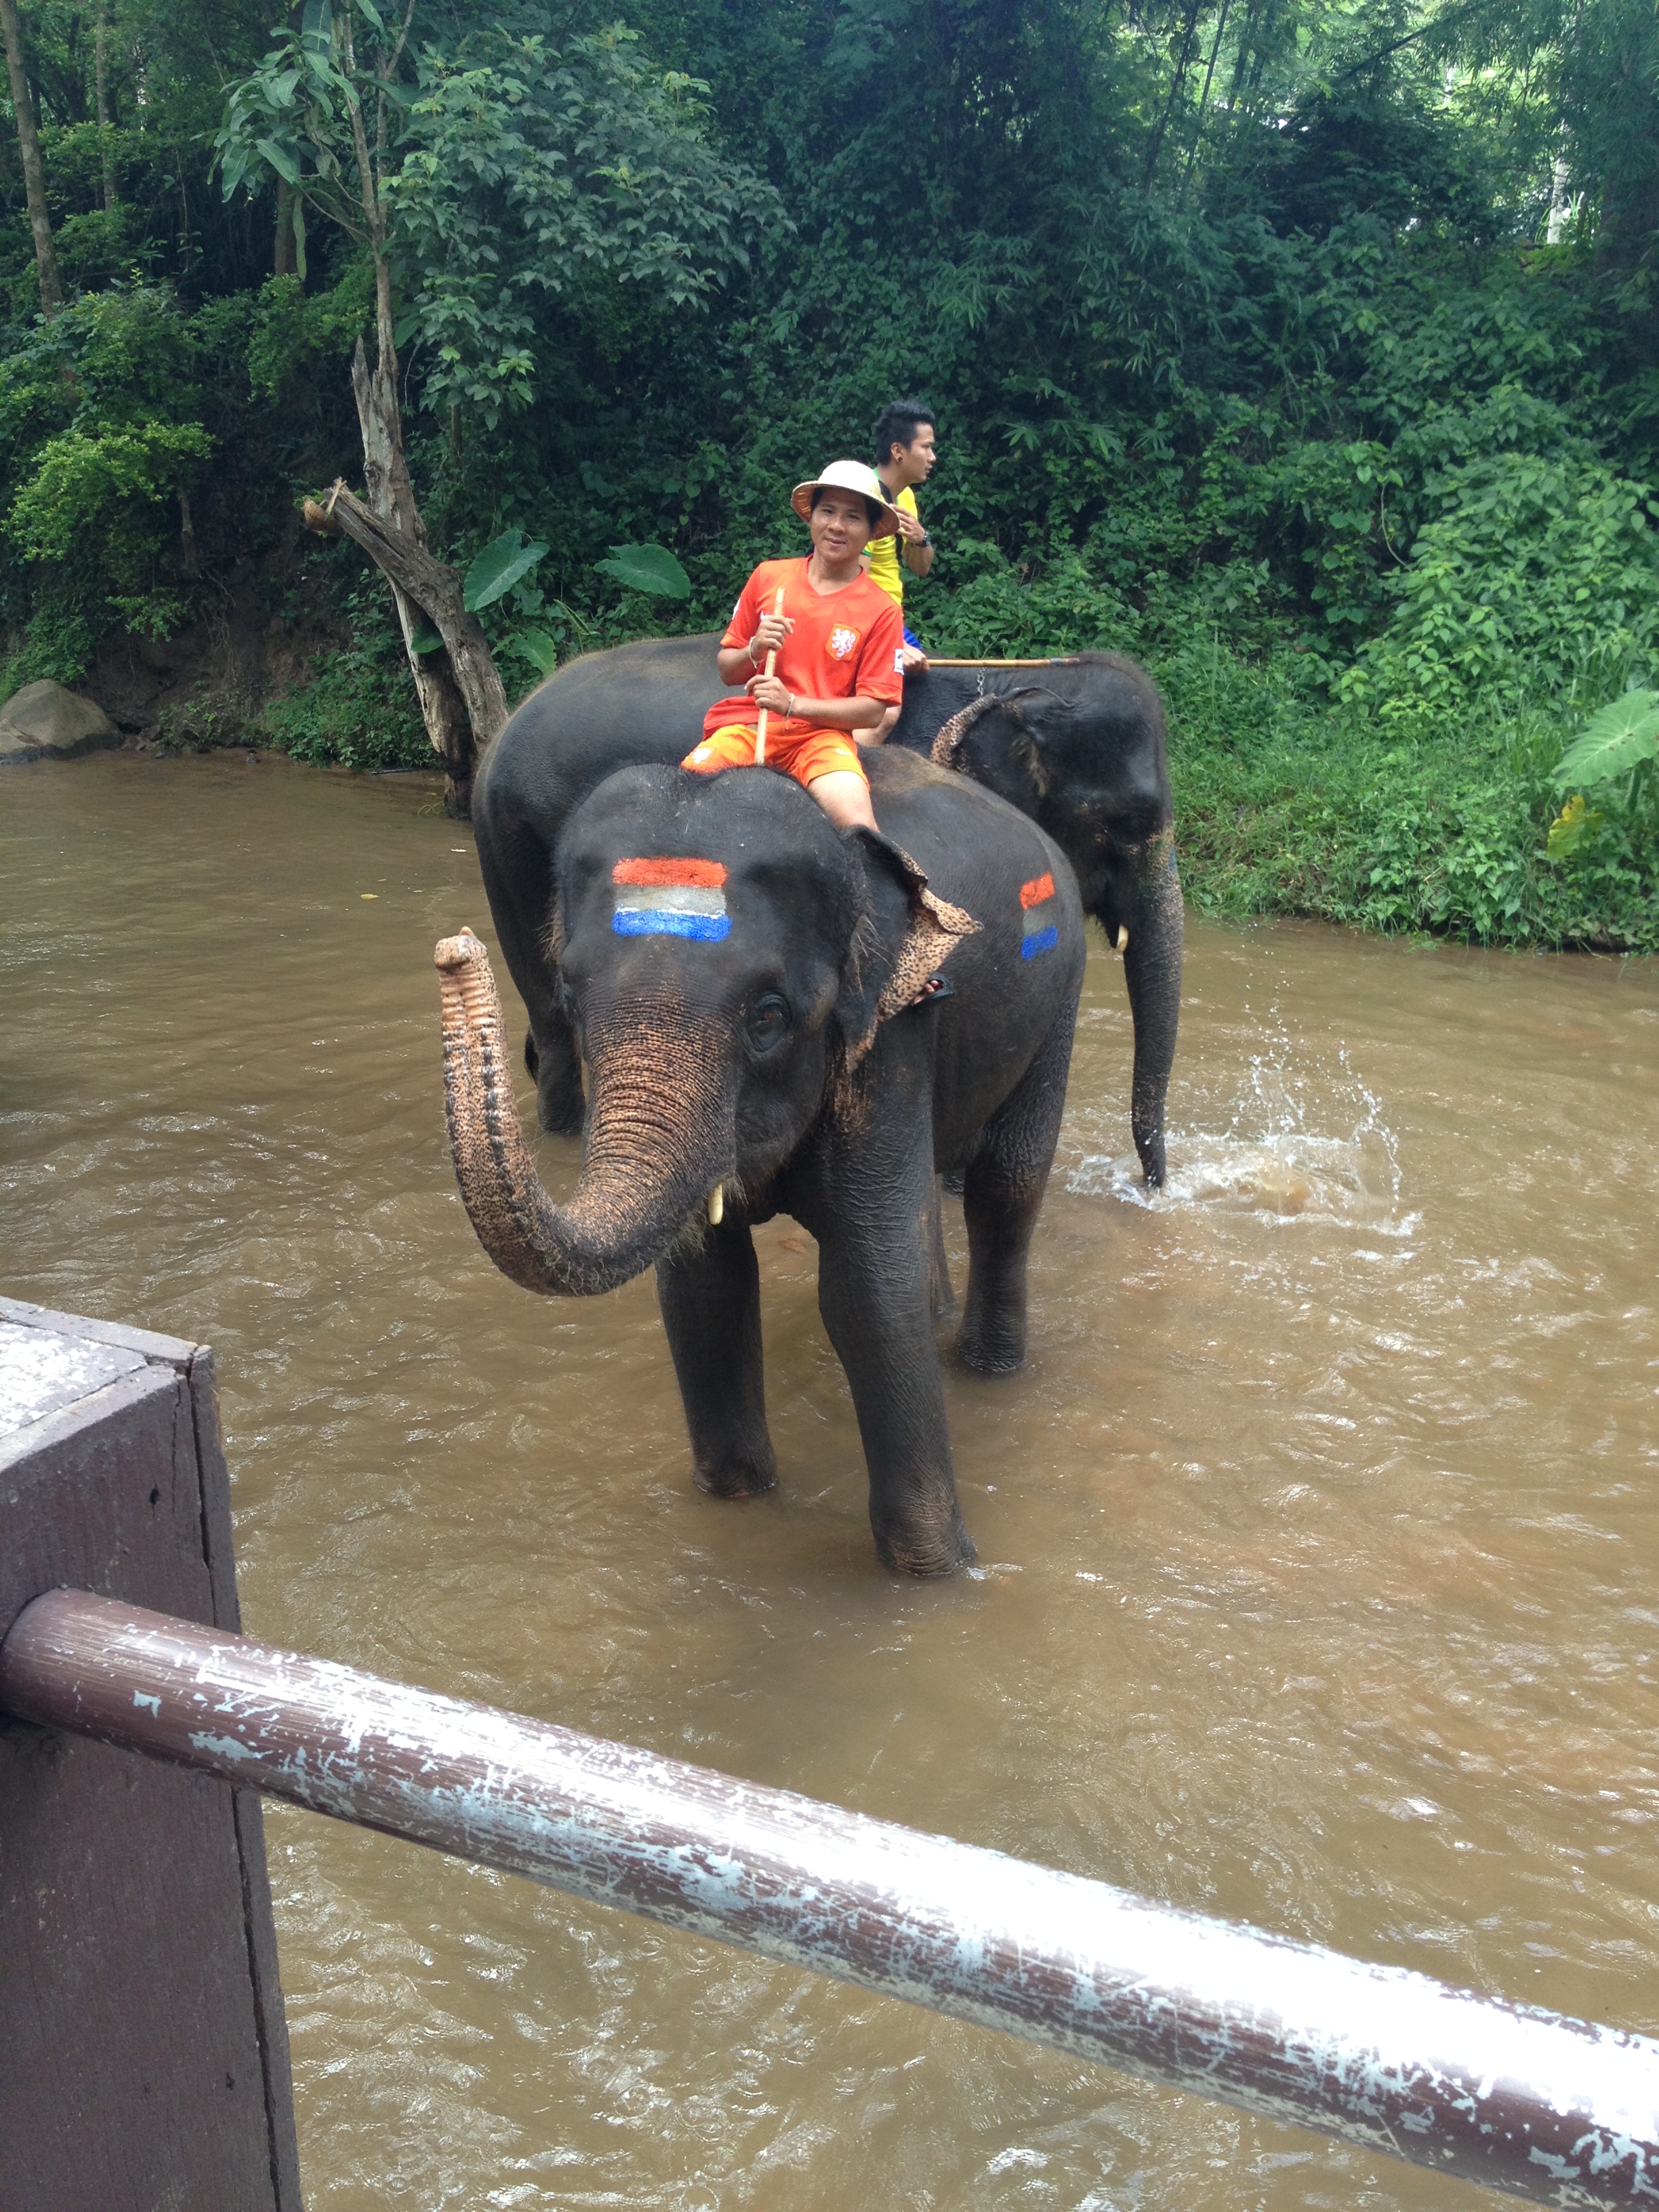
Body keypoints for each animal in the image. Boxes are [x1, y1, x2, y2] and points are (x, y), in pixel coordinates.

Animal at [442, 752, 1084, 1584]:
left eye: (769, 1016)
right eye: (573, 998)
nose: (454, 949)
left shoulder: (890, 1037)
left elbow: (868, 1287)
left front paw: (938, 1573)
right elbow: (705, 1283)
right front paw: (737, 1499)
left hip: (1062, 993)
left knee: (1007, 1185)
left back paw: (988, 1371)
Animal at [473, 637, 1185, 1185]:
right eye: (1126, 824)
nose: (1151, 1188)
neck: (1014, 686)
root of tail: (500, 735)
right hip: (513, 847)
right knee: (553, 1018)